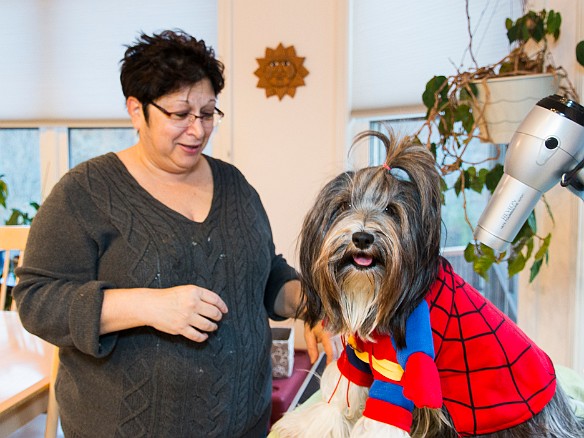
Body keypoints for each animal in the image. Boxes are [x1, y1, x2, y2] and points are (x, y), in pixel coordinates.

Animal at [272, 132, 580, 436]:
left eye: (391, 210)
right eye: (345, 205)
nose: (362, 237)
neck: (379, 296)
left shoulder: (402, 367)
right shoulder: (358, 355)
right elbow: (336, 400)